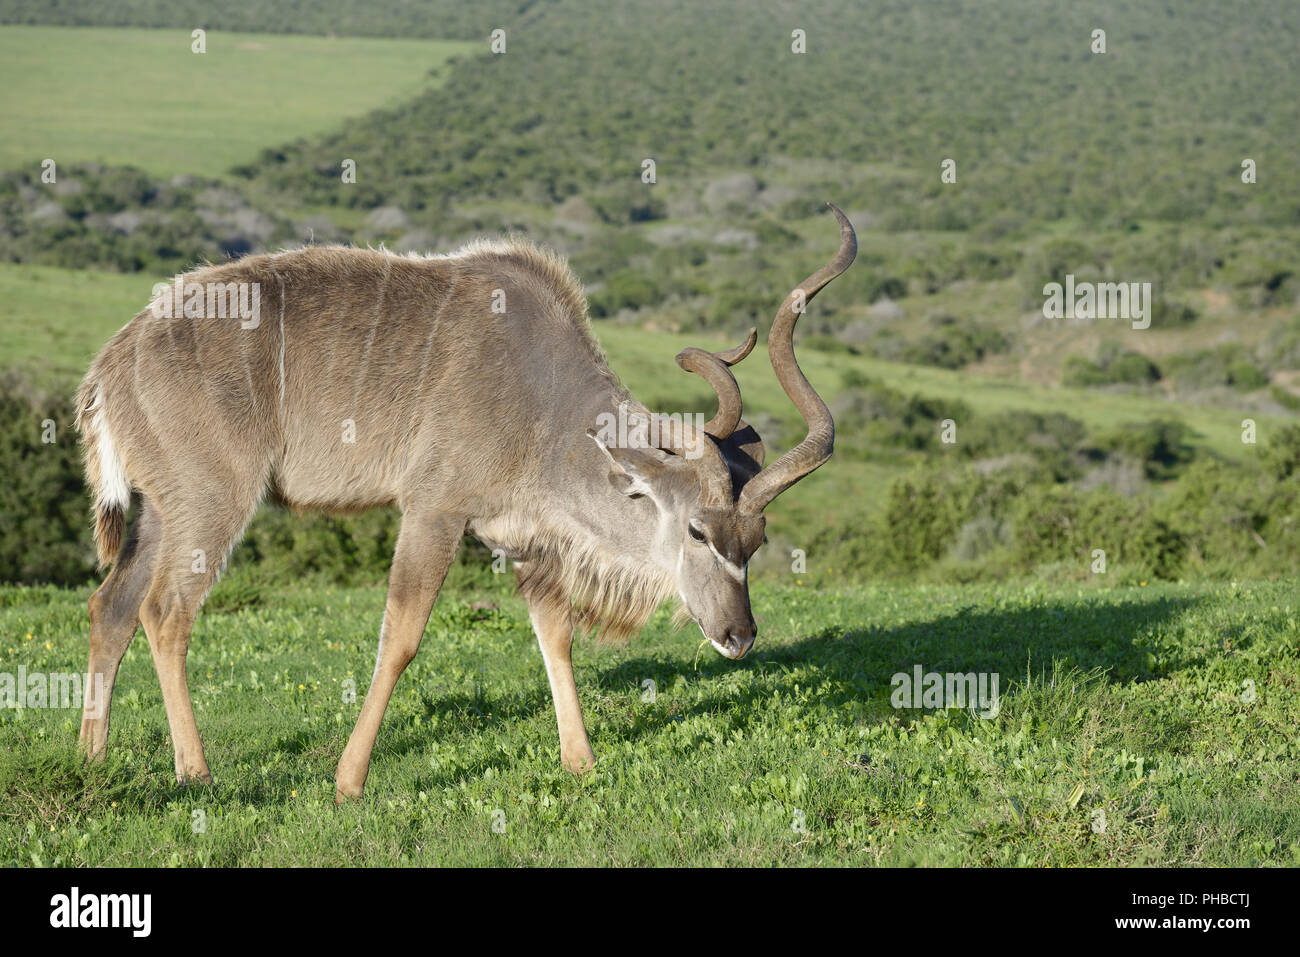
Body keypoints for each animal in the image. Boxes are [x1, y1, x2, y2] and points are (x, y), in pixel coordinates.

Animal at [76, 200, 857, 790]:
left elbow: (555, 635)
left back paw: (93, 758)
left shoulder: (527, 540)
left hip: (162, 510)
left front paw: (580, 761)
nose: (739, 636)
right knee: (165, 611)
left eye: (755, 541)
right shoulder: (435, 510)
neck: (545, 400)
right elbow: (401, 636)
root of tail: (114, 360)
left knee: (112, 605)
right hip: (213, 502)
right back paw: (196, 772)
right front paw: (349, 781)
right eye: (697, 531)